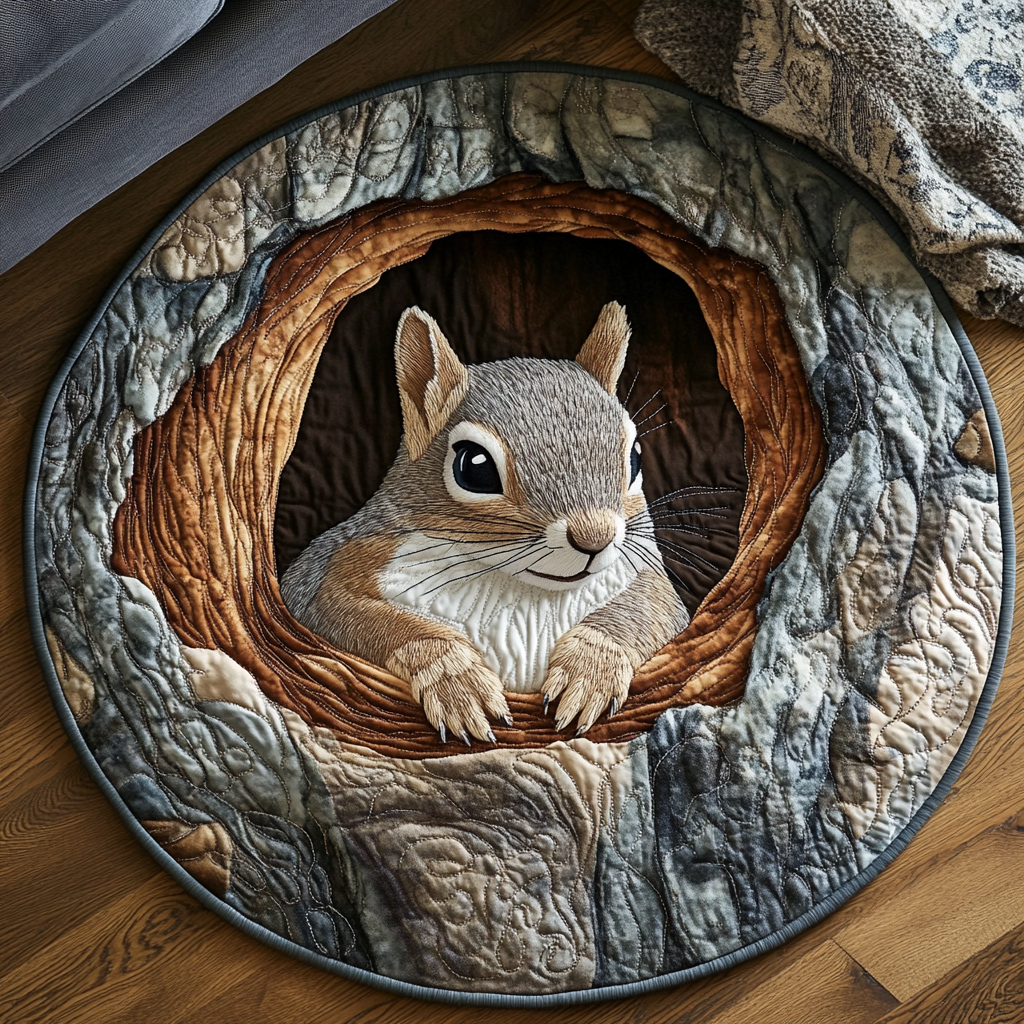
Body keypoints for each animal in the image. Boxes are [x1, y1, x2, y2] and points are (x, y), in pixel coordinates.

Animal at [280, 301, 689, 744]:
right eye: (474, 468)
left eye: (634, 458)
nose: (595, 538)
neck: (523, 590)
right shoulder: (338, 577)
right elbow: (372, 619)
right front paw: (457, 683)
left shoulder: (646, 577)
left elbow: (647, 609)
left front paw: (591, 668)